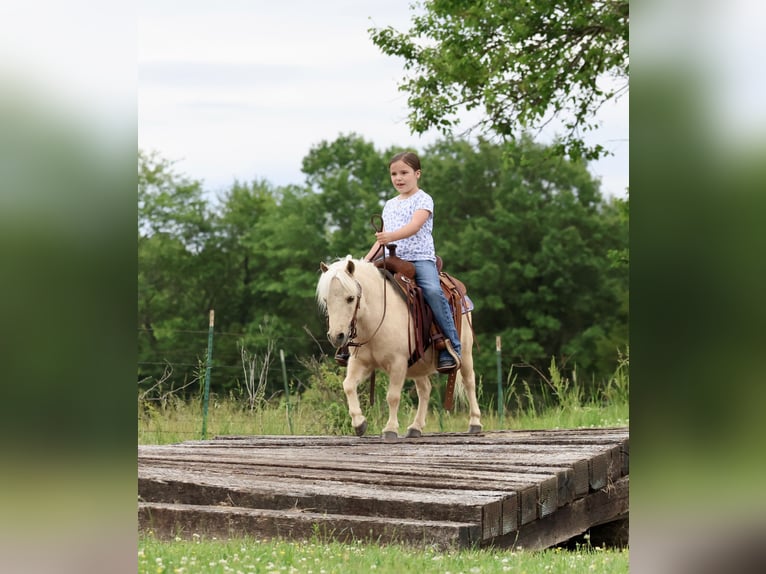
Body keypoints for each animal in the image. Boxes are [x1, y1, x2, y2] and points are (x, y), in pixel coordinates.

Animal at [316, 256, 482, 439]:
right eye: (326, 300)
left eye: (350, 298)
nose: (336, 336)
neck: (376, 319)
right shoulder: (360, 362)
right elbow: (348, 385)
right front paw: (359, 423)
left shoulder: (398, 363)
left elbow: (393, 396)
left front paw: (390, 429)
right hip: (418, 365)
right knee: (425, 389)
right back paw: (416, 427)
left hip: (465, 353)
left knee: (469, 382)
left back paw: (475, 422)